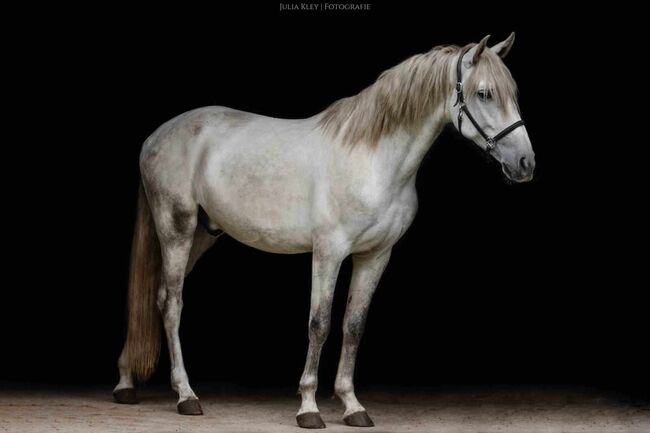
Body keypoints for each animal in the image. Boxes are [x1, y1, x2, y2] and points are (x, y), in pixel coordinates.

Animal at [114, 33, 536, 426]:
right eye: (484, 93)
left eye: (512, 93)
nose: (525, 163)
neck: (372, 159)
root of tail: (156, 136)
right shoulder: (329, 252)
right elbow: (319, 324)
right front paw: (308, 407)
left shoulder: (375, 256)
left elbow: (353, 326)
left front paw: (352, 406)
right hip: (176, 230)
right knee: (172, 303)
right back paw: (185, 395)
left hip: (202, 236)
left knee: (155, 297)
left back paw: (126, 383)